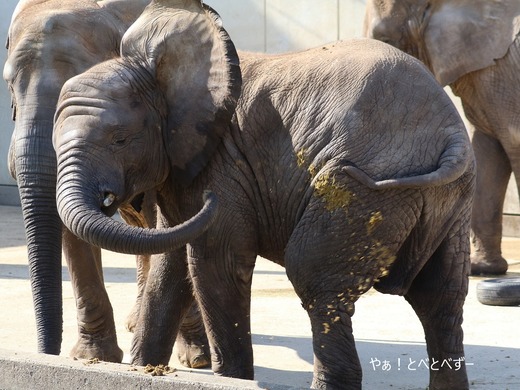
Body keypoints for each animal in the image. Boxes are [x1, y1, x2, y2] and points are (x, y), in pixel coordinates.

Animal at [53, 0, 476, 390]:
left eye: (119, 140)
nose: (110, 199)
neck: (159, 76)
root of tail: (452, 133)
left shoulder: (221, 164)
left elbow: (217, 263)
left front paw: (231, 380)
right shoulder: (182, 165)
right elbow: (171, 262)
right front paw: (141, 371)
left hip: (366, 190)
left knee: (314, 279)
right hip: (449, 200)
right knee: (441, 298)